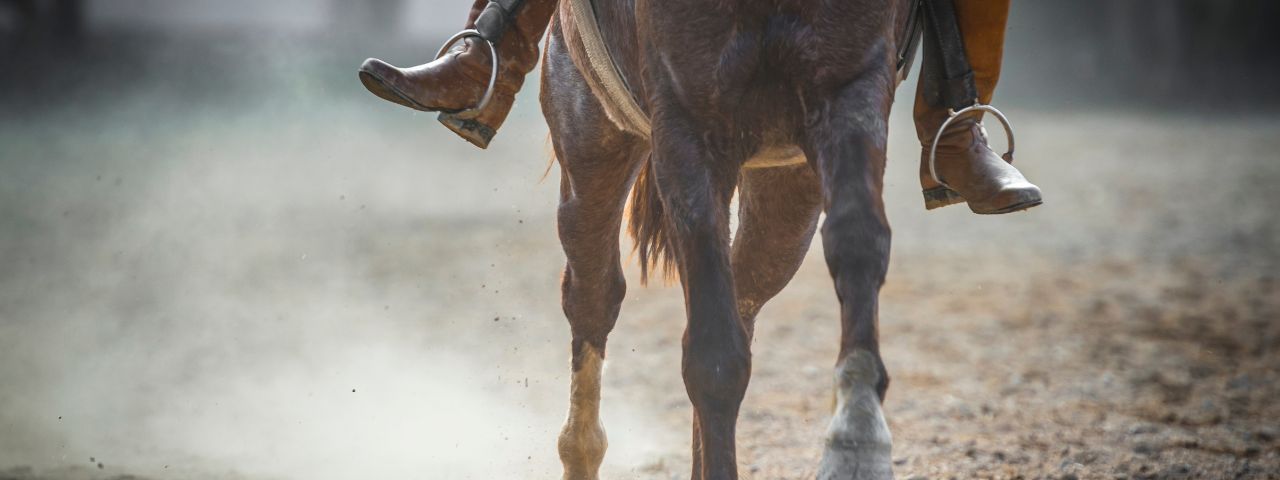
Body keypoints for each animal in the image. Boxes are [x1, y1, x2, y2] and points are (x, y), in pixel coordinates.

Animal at [539, 0, 915, 478]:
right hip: (590, 140)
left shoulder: (852, 85)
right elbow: (713, 357)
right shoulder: (686, 126)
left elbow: (858, 239)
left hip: (786, 197)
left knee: (744, 290)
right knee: (593, 296)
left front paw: (858, 444)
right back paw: (581, 448)